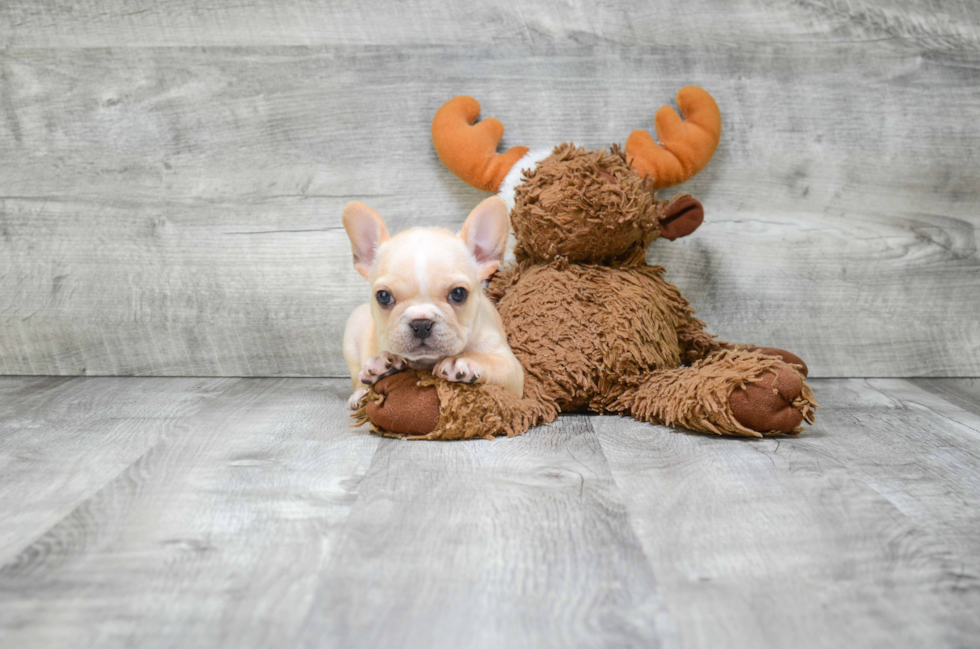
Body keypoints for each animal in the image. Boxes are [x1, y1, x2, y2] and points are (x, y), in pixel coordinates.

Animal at [342, 197, 524, 410]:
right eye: (384, 296)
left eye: (458, 293)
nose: (421, 324)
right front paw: (384, 365)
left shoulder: (512, 370)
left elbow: (490, 360)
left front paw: (463, 361)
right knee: (356, 376)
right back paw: (360, 392)